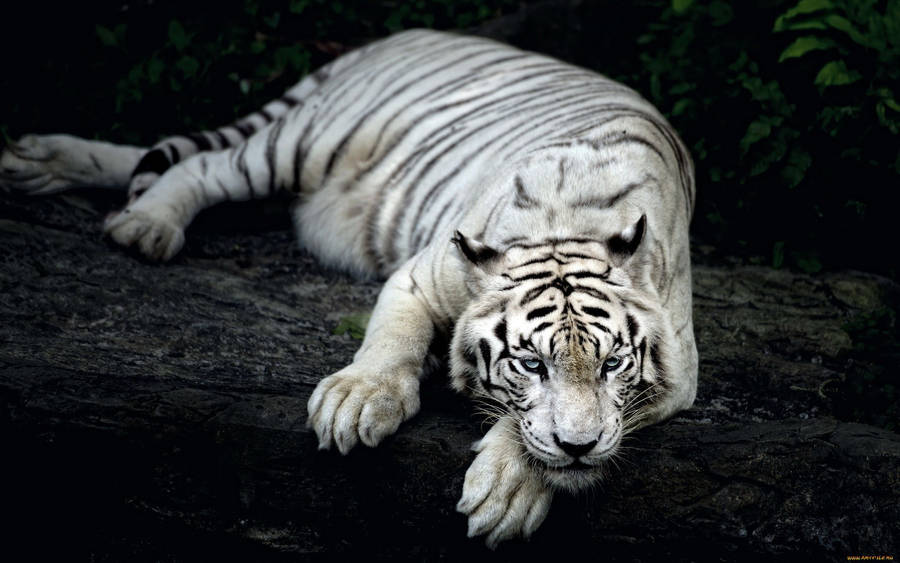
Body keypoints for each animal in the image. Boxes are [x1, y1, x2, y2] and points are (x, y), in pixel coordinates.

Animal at [0, 29, 697, 547]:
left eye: (612, 365)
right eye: (531, 364)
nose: (579, 448)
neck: (568, 225)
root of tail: (405, 34)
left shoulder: (680, 370)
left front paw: (511, 487)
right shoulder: (419, 275)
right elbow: (390, 343)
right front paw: (356, 402)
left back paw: (35, 164)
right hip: (304, 142)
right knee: (197, 165)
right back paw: (141, 222)